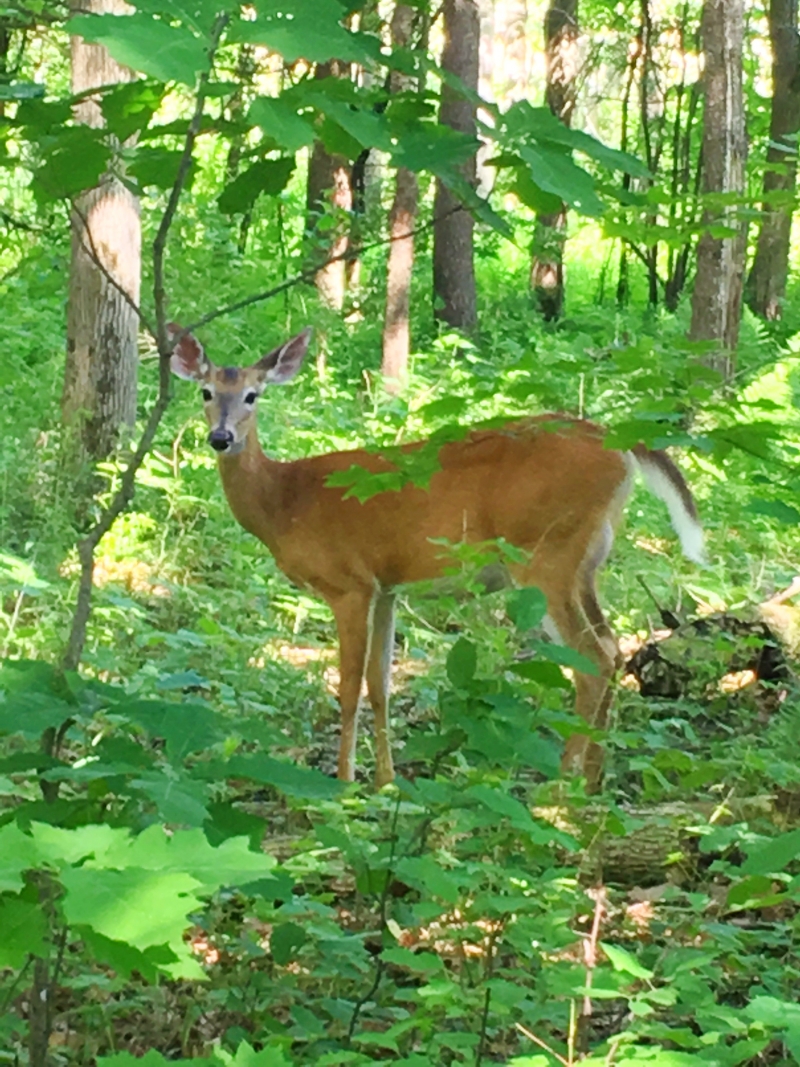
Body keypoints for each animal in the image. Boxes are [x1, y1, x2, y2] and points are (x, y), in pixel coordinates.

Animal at [170, 325, 704, 792]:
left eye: (253, 395)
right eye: (206, 392)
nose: (221, 438)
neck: (284, 503)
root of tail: (618, 445)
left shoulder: (349, 583)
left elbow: (348, 687)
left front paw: (343, 783)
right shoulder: (385, 587)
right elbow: (380, 684)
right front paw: (385, 782)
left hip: (546, 552)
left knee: (592, 657)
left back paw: (558, 784)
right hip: (586, 558)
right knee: (611, 648)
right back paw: (592, 781)